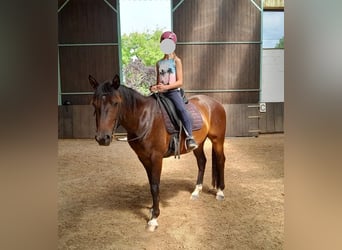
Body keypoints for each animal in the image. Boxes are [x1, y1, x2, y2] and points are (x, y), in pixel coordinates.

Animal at [89, 73, 226, 230]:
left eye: (116, 103)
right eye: (94, 104)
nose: (102, 138)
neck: (143, 118)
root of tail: (215, 103)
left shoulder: (156, 157)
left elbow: (155, 185)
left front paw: (154, 217)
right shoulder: (143, 158)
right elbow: (151, 184)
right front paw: (152, 209)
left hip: (217, 140)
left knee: (220, 161)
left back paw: (220, 192)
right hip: (199, 143)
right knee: (202, 162)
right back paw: (197, 191)